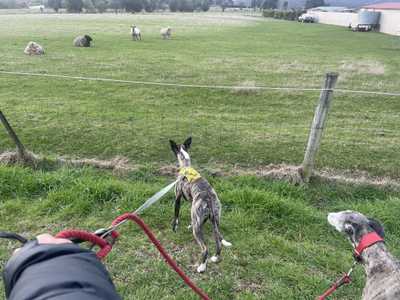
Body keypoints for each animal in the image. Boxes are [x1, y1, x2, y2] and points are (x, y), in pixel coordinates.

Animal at [169, 137, 231, 274]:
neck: (186, 166)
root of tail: (209, 200)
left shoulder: (177, 199)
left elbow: (176, 216)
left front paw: (174, 228)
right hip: (215, 221)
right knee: (218, 241)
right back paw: (215, 257)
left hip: (197, 231)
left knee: (205, 249)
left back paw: (202, 267)